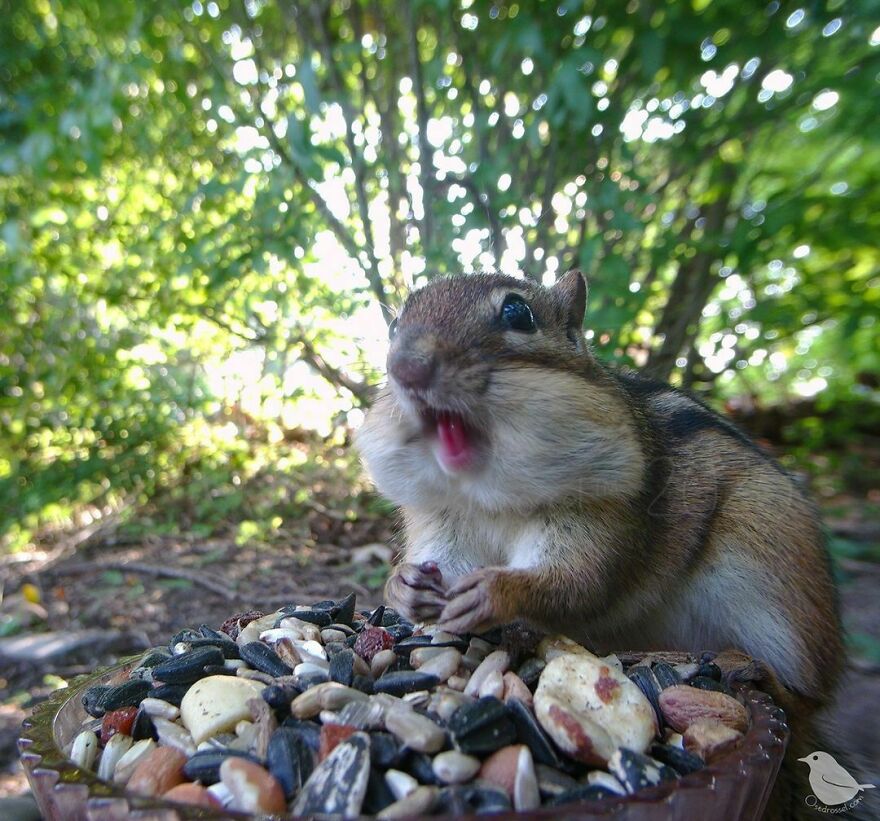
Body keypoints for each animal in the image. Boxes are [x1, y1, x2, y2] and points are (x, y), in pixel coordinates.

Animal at [355, 270, 843, 723]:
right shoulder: (443, 522)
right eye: (395, 325)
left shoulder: (605, 510)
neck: (490, 498)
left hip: (766, 561)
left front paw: (494, 590)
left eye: (518, 313)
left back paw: (756, 674)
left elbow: (578, 582)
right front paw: (403, 585)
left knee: (808, 699)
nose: (406, 367)